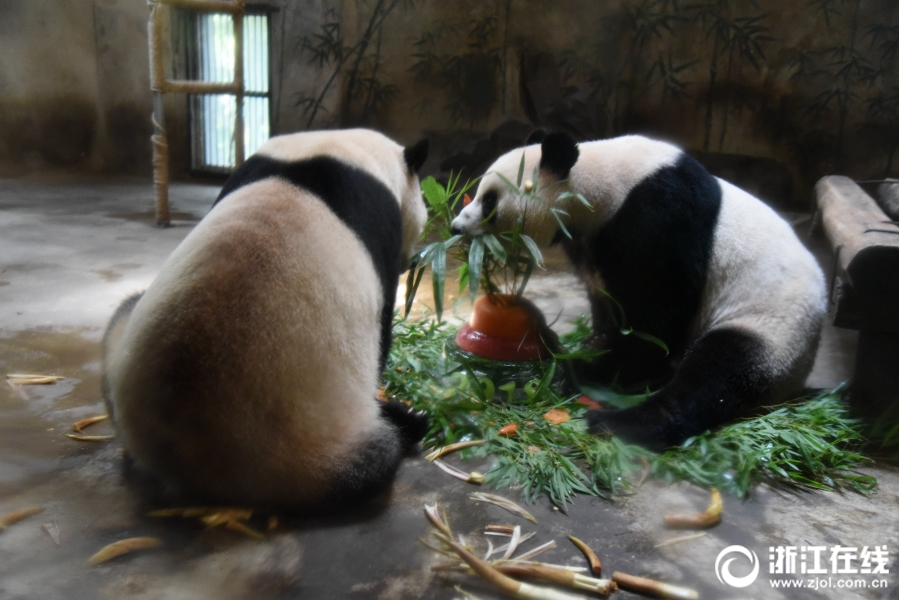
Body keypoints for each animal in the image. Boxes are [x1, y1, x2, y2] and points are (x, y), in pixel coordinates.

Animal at [100, 129, 430, 508]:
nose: (411, 261)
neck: (340, 148)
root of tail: (181, 455)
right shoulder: (380, 224)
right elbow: (382, 331)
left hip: (123, 351)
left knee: (123, 313)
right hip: (305, 444)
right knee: (373, 456)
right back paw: (407, 422)